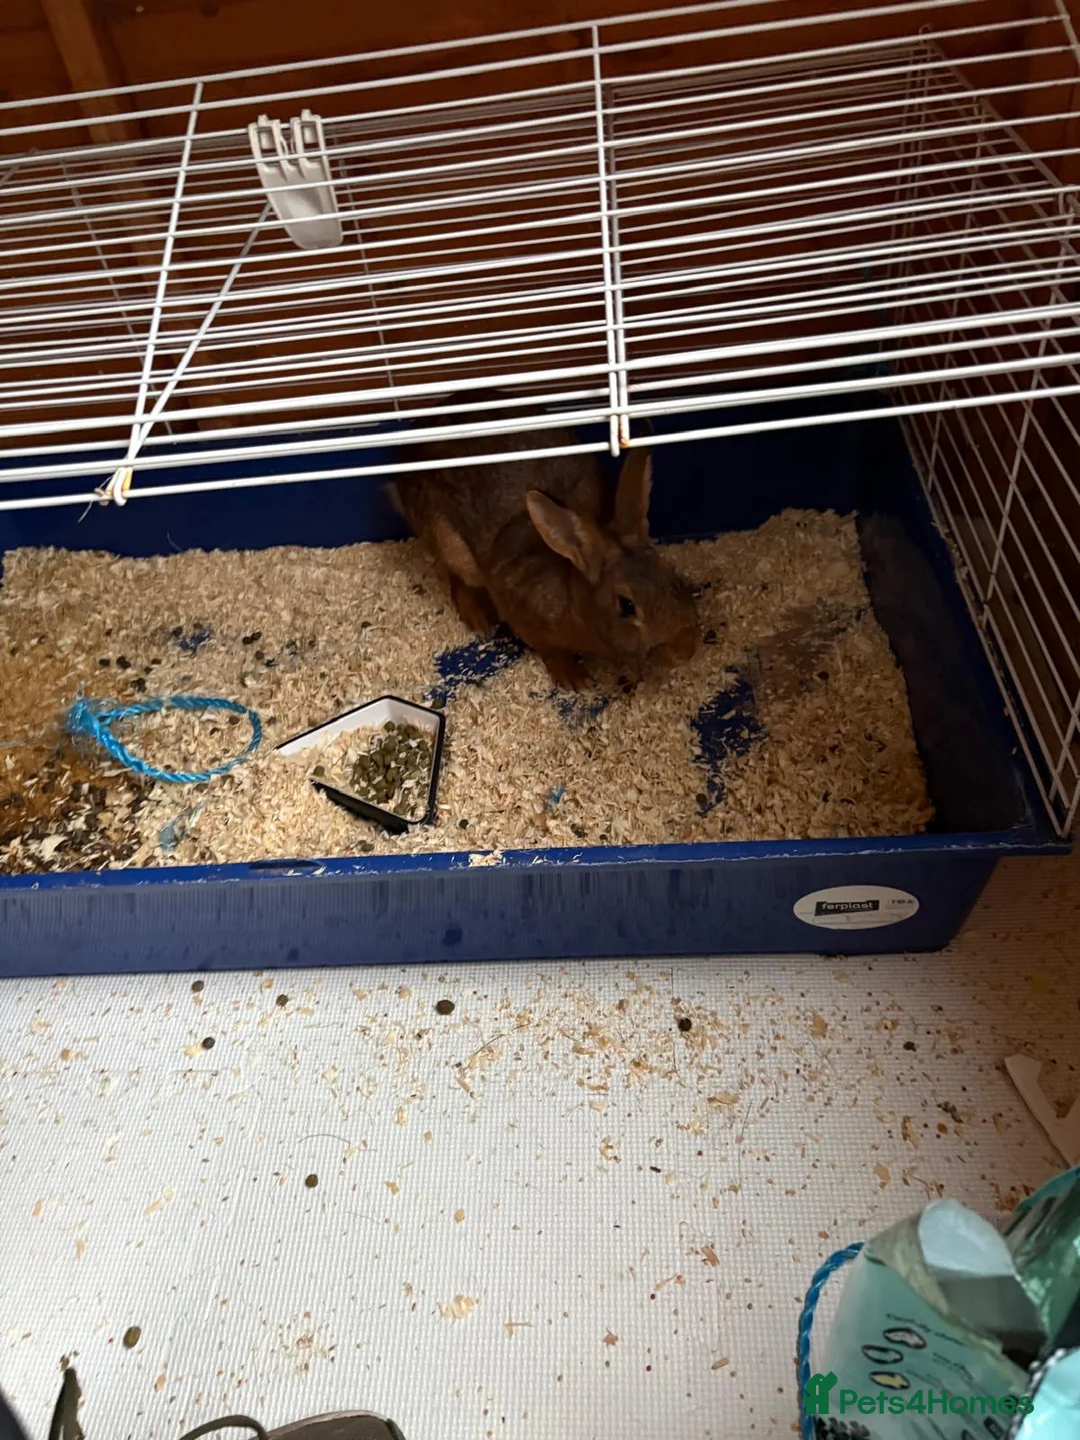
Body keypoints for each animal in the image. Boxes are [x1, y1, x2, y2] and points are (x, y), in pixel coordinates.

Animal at [393, 408, 699, 690]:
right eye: (627, 605)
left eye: (672, 576)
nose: (686, 648)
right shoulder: (526, 620)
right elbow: (550, 651)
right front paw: (575, 679)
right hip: (451, 544)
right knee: (458, 582)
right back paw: (479, 621)